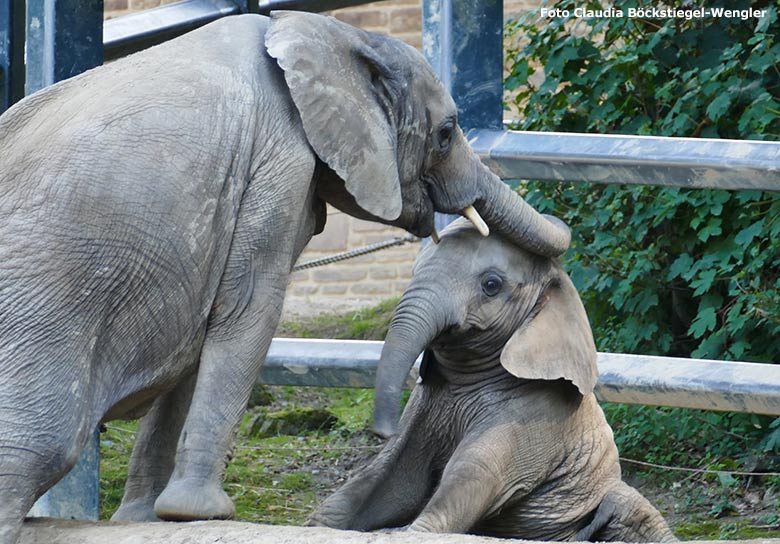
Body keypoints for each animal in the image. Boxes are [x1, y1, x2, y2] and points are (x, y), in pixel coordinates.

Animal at [0, 8, 568, 540]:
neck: (325, 33)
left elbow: (202, 338)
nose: (381, 434)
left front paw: (144, 519)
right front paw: (200, 513)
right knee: (37, 447)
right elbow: (247, 308)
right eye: (447, 134)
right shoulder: (280, 162)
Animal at [308, 219, 672, 540]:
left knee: (629, 508)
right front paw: (324, 524)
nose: (382, 430)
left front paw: (401, 532)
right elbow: (391, 476)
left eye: (491, 285)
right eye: (414, 271)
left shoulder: (538, 413)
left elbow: (471, 476)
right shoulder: (425, 405)